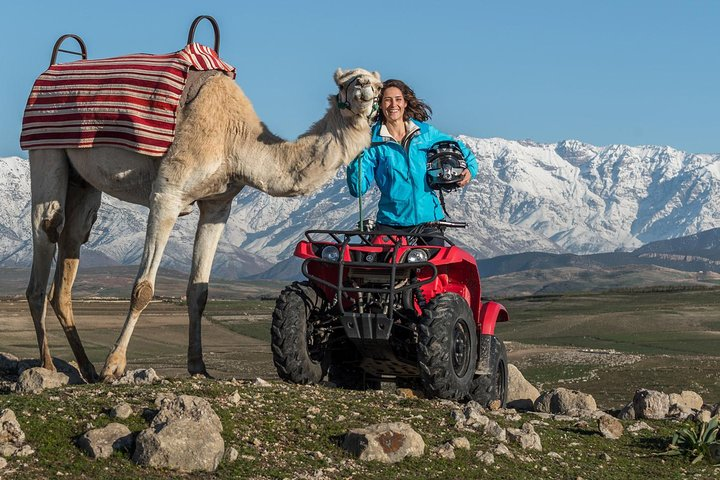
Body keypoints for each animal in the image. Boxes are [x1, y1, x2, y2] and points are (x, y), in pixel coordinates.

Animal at [25, 67, 382, 382]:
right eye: (347, 82)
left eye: (378, 83)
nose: (365, 88)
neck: (235, 139)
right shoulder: (167, 193)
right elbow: (143, 289)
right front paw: (113, 366)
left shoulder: (218, 205)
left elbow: (199, 291)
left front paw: (198, 367)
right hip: (46, 149)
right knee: (47, 229)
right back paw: (49, 366)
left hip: (83, 181)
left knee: (72, 243)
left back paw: (85, 368)